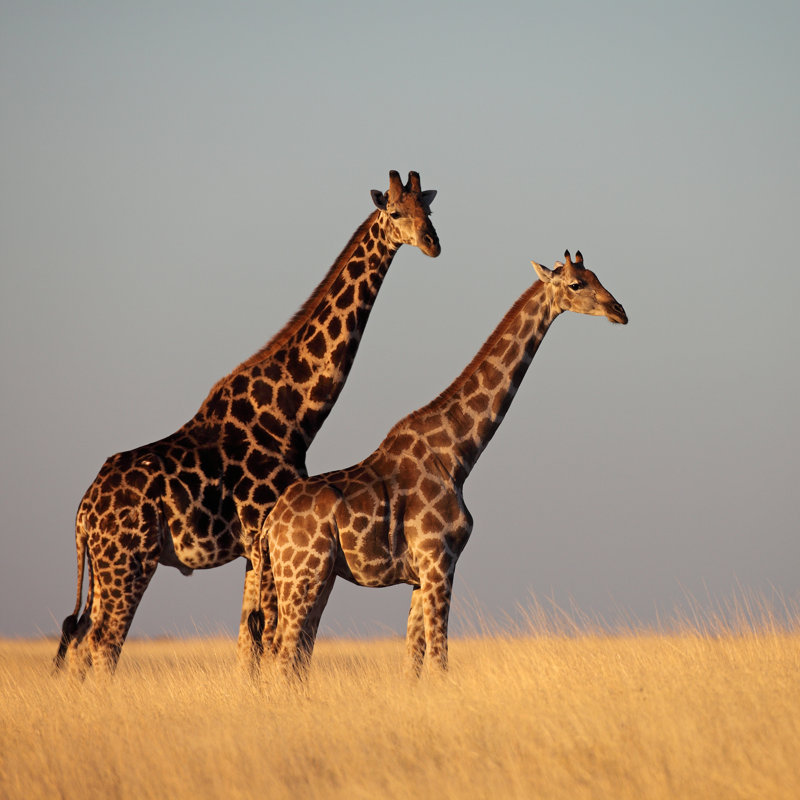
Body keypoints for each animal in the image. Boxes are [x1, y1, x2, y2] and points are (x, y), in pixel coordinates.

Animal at [54, 170, 440, 676]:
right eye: (395, 212)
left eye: (428, 210)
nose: (433, 244)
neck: (296, 415)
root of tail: (82, 514)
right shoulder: (264, 531)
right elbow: (271, 640)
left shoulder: (255, 547)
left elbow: (247, 645)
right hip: (129, 560)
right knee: (103, 642)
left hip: (106, 568)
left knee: (82, 642)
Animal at [255, 250, 627, 677]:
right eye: (576, 284)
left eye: (597, 276)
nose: (620, 311)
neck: (458, 453)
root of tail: (269, 525)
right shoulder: (439, 561)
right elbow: (439, 660)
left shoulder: (421, 575)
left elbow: (414, 664)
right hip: (302, 574)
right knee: (283, 659)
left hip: (317, 578)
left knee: (295, 659)